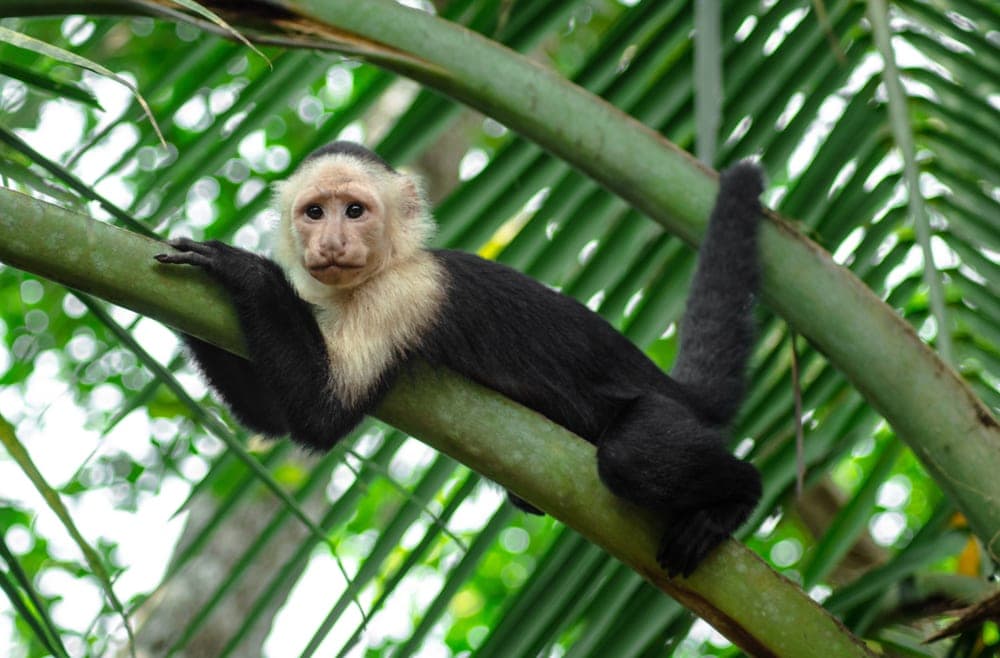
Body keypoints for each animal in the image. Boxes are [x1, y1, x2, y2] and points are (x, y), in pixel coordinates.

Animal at [154, 141, 764, 577]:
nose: (330, 243)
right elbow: (275, 418)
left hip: (660, 409)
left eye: (354, 210)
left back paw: (736, 497)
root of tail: (665, 381)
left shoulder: (402, 296)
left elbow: (322, 414)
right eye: (314, 212)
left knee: (633, 459)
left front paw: (240, 269)